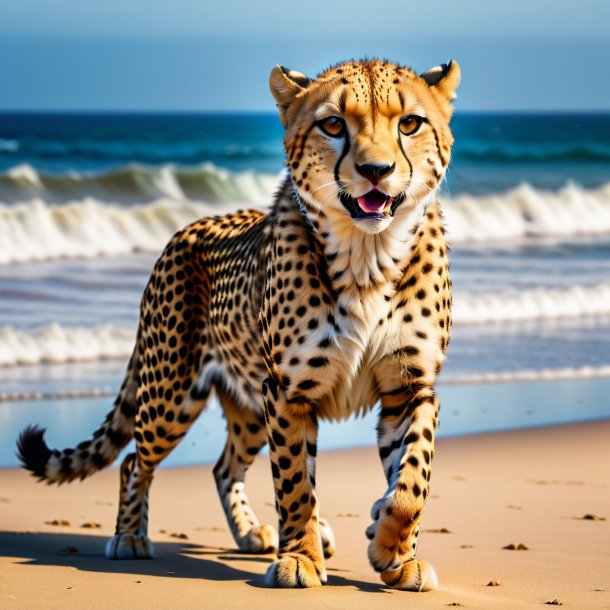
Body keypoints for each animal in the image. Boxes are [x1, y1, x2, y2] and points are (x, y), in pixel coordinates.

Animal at [16, 58, 458, 588]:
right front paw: (301, 558)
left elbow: (413, 478)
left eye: (409, 123)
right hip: (172, 396)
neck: (366, 254)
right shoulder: (288, 393)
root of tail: (188, 228)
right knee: (133, 461)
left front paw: (393, 550)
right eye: (333, 125)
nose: (377, 171)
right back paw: (130, 537)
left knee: (223, 467)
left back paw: (253, 532)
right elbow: (295, 483)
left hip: (247, 405)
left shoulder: (409, 388)